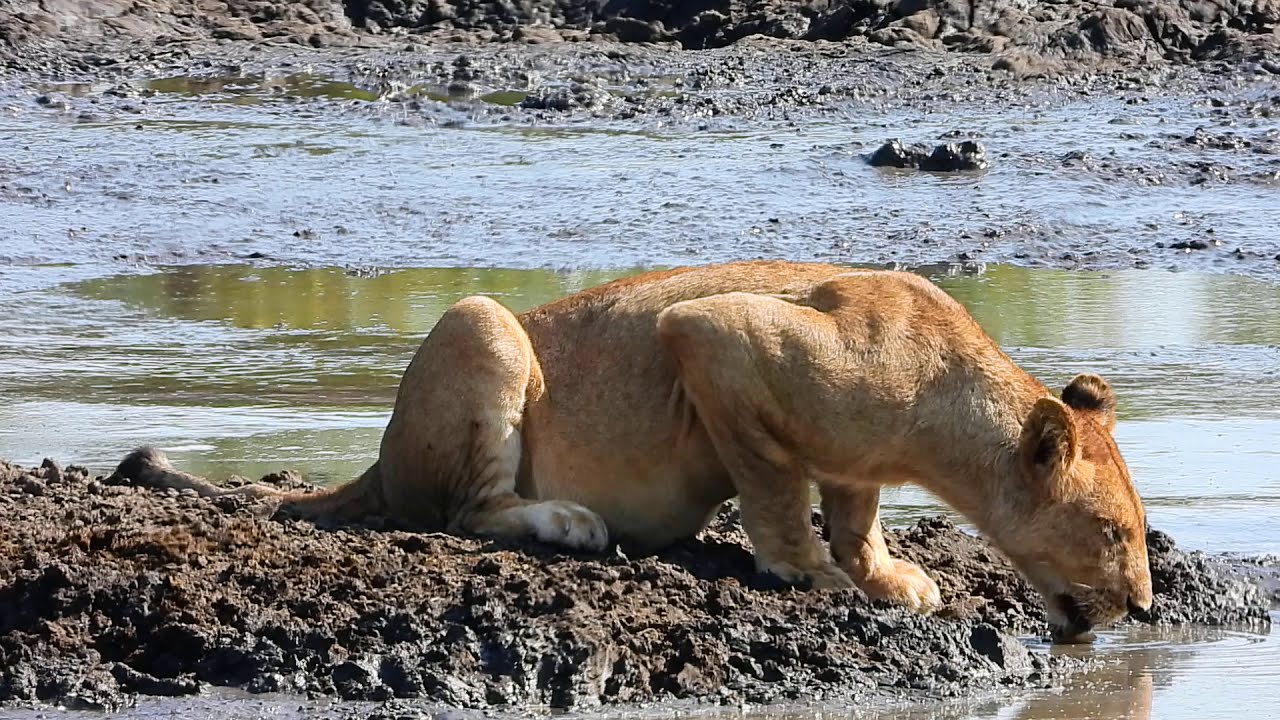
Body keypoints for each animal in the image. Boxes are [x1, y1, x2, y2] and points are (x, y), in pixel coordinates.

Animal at [112, 260, 1152, 643]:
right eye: (1111, 533)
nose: (1144, 606)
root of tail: (377, 456)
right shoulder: (715, 337)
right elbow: (775, 482)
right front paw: (804, 569)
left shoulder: (855, 462)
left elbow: (858, 515)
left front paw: (890, 577)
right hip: (481, 324)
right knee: (464, 512)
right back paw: (568, 522)